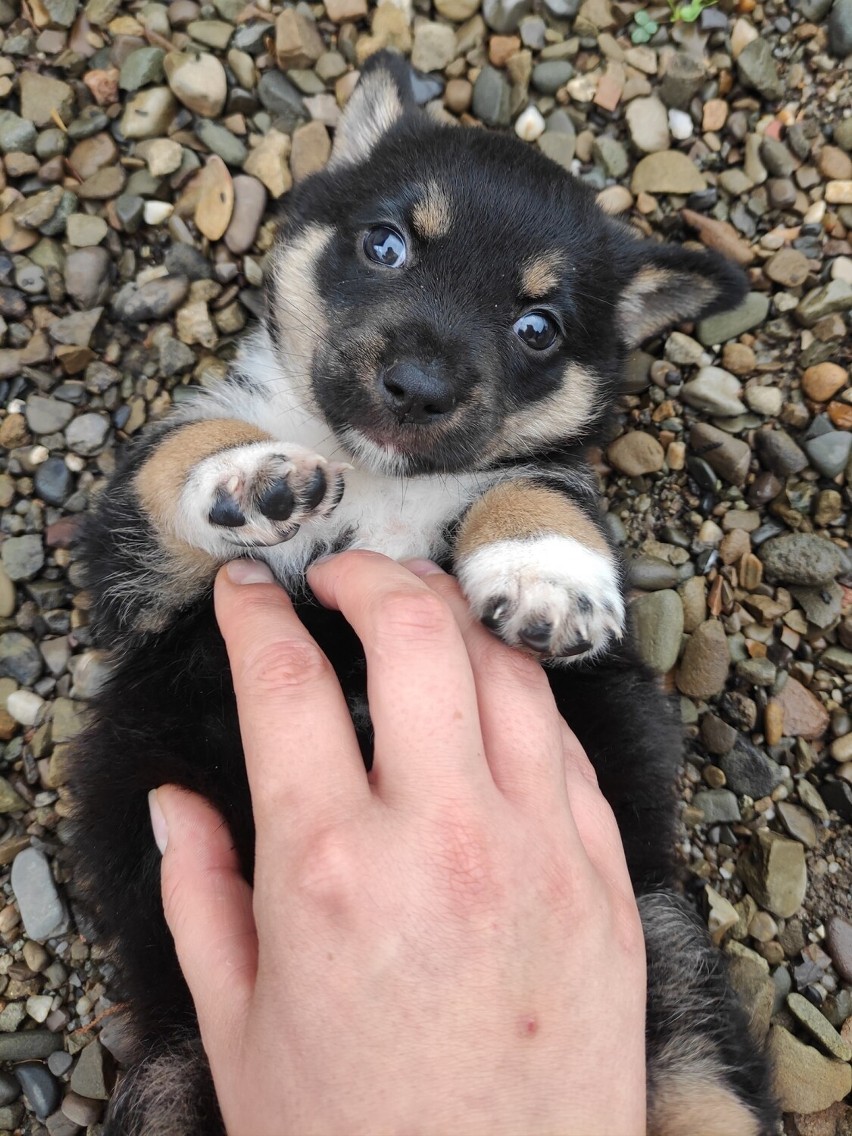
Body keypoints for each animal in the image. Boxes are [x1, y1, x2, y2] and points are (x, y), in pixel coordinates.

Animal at [70, 53, 786, 1136]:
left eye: (539, 327)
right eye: (385, 243)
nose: (415, 386)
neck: (380, 485)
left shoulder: (544, 479)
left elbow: (540, 489)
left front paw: (546, 574)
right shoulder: (134, 578)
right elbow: (175, 459)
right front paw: (251, 478)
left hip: (675, 977)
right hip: (170, 1074)